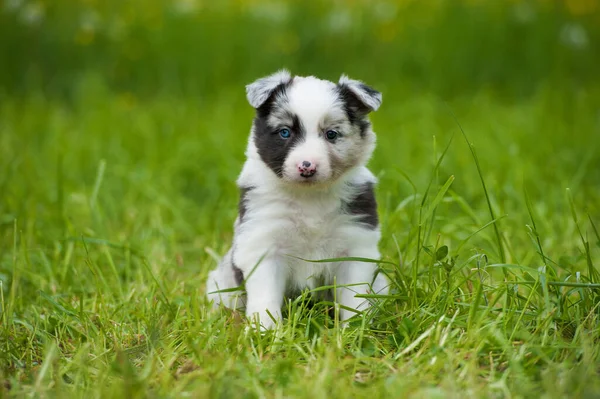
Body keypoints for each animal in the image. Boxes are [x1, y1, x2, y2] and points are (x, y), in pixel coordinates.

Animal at [207, 69, 390, 332]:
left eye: (331, 134)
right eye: (285, 132)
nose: (307, 167)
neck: (309, 197)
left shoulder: (355, 245)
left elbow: (354, 296)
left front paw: (355, 329)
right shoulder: (264, 244)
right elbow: (265, 296)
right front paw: (265, 331)